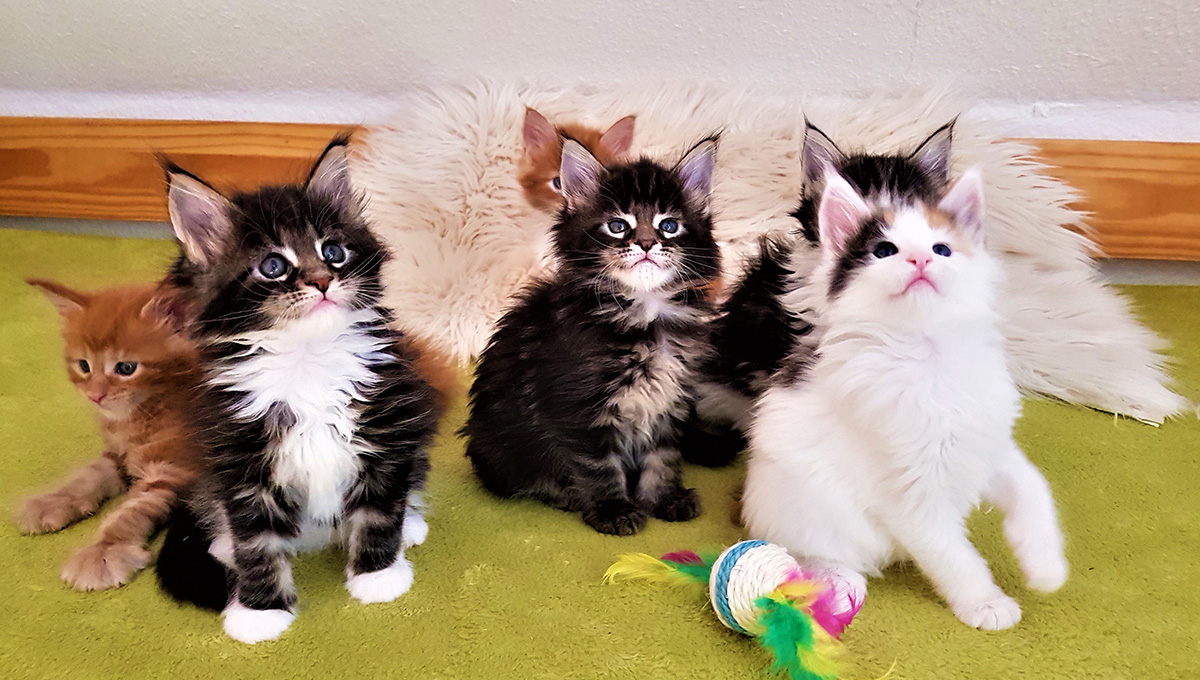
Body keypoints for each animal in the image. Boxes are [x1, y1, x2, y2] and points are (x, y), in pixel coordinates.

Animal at [18, 280, 201, 590]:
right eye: (84, 366)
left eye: (126, 368)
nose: (95, 396)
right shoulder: (117, 453)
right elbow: (87, 476)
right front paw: (51, 501)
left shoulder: (174, 471)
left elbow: (130, 512)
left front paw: (103, 551)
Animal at [154, 137, 441, 642]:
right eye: (273, 266)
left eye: (334, 252)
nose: (324, 280)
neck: (308, 360)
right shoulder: (240, 459)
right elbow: (257, 542)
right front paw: (260, 610)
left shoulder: (387, 430)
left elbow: (379, 511)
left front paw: (378, 575)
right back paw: (223, 544)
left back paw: (411, 524)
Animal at [463, 137, 715, 537]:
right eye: (617, 226)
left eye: (669, 225)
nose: (647, 243)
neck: (645, 314)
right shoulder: (578, 407)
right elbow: (598, 466)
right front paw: (613, 510)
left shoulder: (671, 399)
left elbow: (663, 457)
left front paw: (664, 498)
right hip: (499, 448)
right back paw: (563, 493)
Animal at [739, 157, 1070, 628]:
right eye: (885, 251)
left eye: (942, 249)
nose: (920, 258)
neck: (929, 355)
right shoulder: (910, 495)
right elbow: (955, 555)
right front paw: (985, 603)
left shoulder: (987, 443)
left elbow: (1034, 489)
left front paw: (1046, 565)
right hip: (811, 516)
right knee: (810, 556)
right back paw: (836, 582)